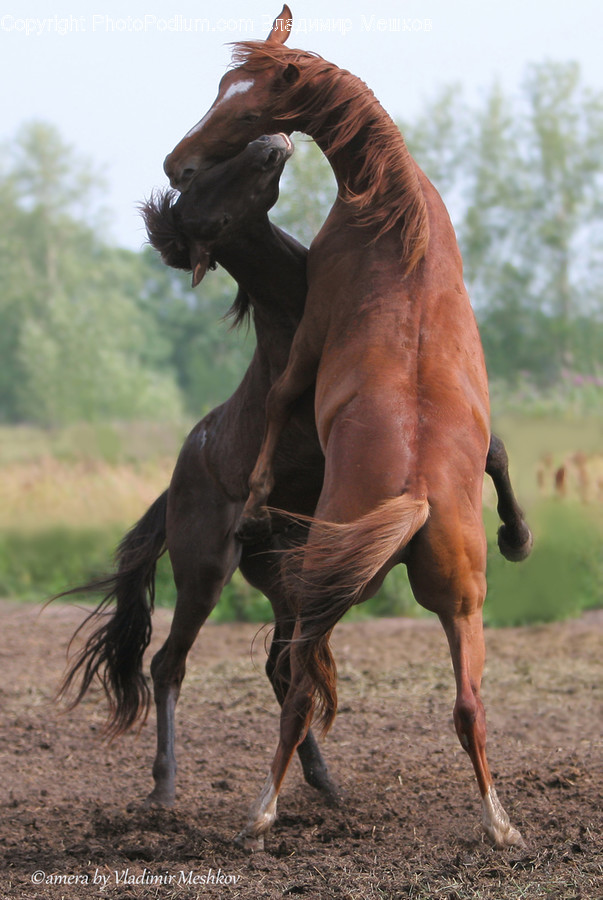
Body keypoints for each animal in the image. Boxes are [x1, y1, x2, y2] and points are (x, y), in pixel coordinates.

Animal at [58, 131, 532, 827]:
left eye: (203, 176)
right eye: (202, 199)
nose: (267, 143)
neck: (292, 311)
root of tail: (178, 482)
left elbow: (493, 450)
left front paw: (517, 535)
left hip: (287, 577)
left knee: (283, 668)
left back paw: (324, 782)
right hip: (205, 572)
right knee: (171, 664)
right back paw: (165, 787)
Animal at [162, 6, 529, 851]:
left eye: (247, 105)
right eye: (222, 89)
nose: (175, 164)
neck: (393, 216)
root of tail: (417, 498)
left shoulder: (310, 338)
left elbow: (280, 401)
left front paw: (257, 496)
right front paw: (518, 533)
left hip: (318, 595)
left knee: (296, 692)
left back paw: (260, 812)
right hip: (461, 605)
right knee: (468, 708)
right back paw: (499, 825)